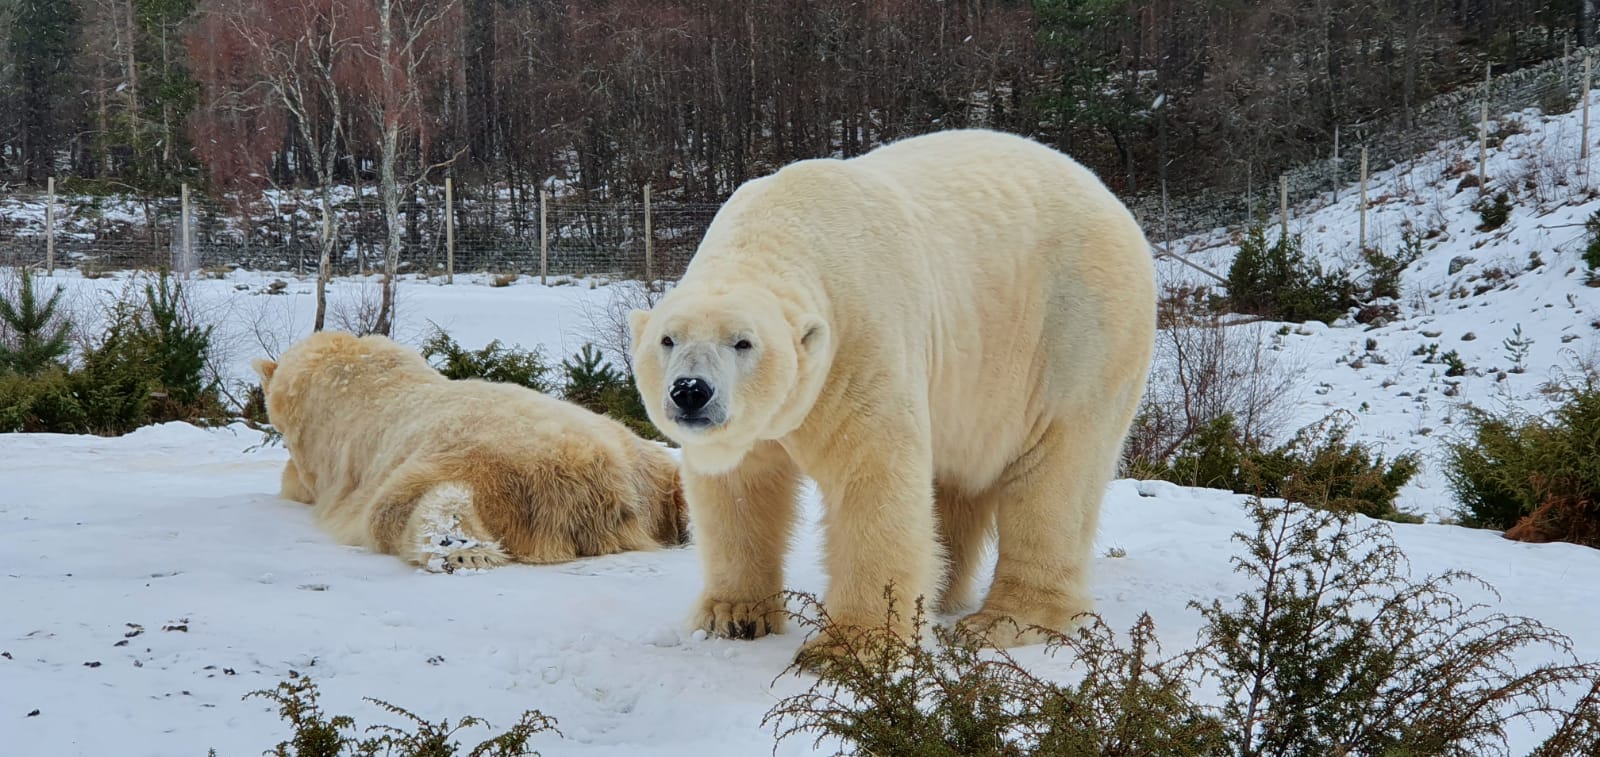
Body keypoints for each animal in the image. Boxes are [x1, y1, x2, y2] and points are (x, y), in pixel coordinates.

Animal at [251, 329, 688, 572]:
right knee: (680, 482)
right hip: (643, 458)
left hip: (476, 464)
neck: (353, 372)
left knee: (404, 505)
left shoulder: (319, 452)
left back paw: (461, 550)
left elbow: (298, 481)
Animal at [630, 125, 1158, 659]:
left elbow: (872, 478)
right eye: (668, 340)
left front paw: (849, 645)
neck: (784, 226)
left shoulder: (861, 342)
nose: (691, 391)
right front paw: (733, 615)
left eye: (743, 342)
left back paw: (1005, 621)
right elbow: (739, 489)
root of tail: (1110, 198)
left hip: (1076, 330)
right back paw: (941, 592)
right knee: (959, 480)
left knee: (1058, 471)